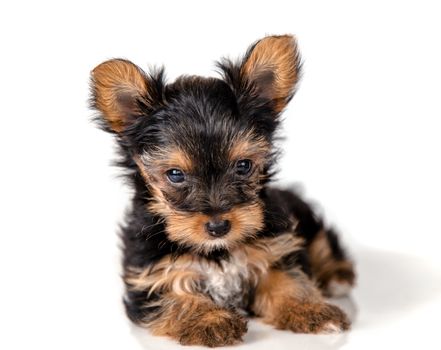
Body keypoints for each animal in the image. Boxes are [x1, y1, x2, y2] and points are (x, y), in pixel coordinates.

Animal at [89, 34, 354, 346]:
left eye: (243, 166)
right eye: (175, 175)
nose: (218, 226)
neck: (216, 252)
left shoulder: (275, 250)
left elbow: (288, 280)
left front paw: (313, 310)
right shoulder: (151, 276)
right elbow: (177, 298)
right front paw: (210, 321)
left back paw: (337, 275)